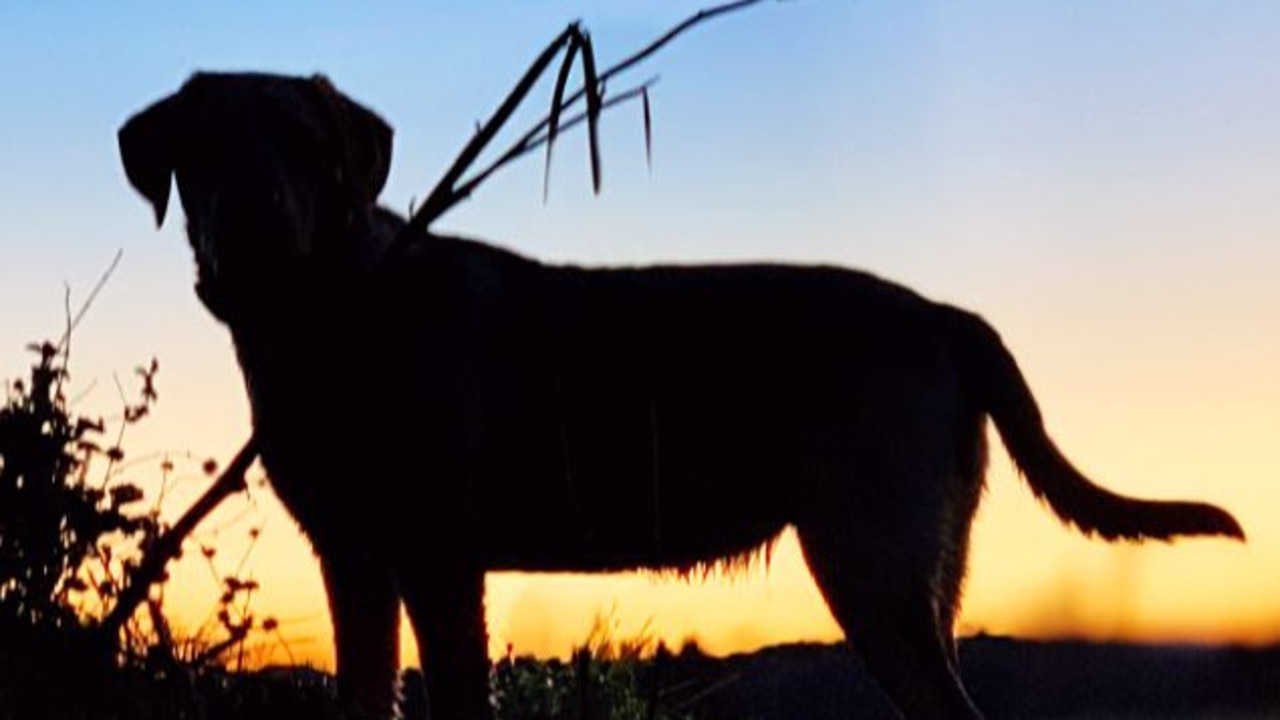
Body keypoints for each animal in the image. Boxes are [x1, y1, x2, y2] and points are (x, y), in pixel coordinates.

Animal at [117, 73, 1239, 717]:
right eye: (207, 148)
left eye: (312, 148)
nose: (255, 227)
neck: (331, 315)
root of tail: (943, 315)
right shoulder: (357, 562)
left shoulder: (438, 560)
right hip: (920, 572)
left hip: (870, 567)